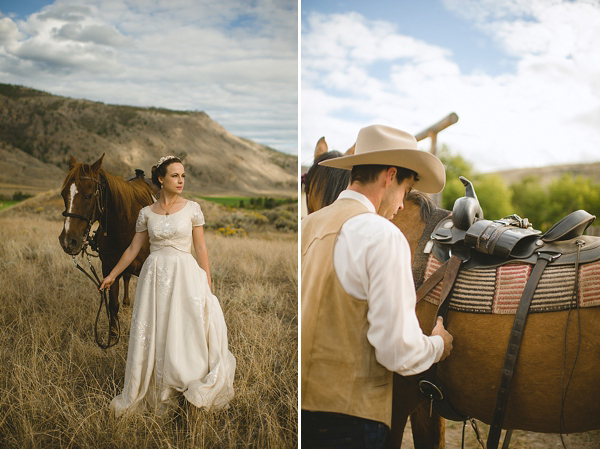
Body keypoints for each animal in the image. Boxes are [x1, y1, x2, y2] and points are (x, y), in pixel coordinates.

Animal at [58, 153, 157, 344]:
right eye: (63, 194)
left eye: (89, 196)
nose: (68, 241)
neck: (127, 225)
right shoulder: (110, 268)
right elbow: (112, 305)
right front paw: (113, 337)